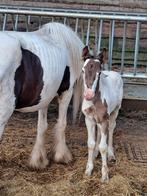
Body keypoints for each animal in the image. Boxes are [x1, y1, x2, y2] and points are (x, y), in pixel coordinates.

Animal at [0, 21, 84, 168]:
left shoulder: (44, 96)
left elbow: (42, 126)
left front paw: (38, 160)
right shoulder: (66, 92)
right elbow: (62, 124)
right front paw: (62, 156)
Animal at [81, 46, 123, 182]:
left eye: (99, 73)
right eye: (83, 70)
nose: (88, 95)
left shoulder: (104, 119)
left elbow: (103, 147)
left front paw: (104, 175)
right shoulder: (89, 119)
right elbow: (90, 143)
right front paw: (88, 169)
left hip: (115, 111)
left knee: (110, 129)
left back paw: (111, 155)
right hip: (98, 120)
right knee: (99, 133)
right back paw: (95, 154)